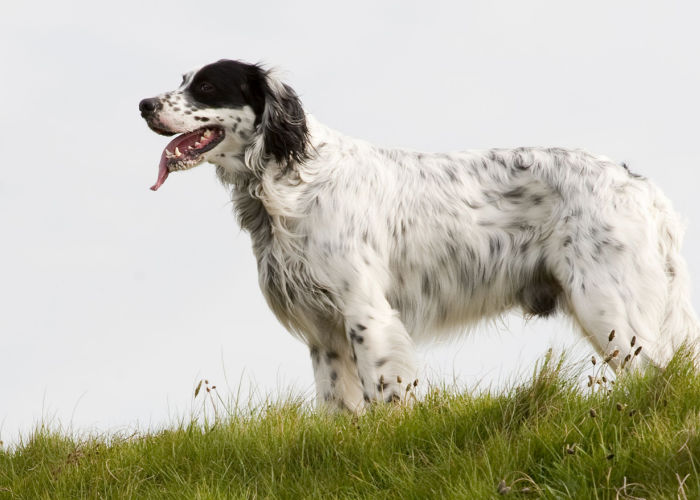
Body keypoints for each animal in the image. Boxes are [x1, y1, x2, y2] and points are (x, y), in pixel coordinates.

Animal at [139, 58, 696, 410]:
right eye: (184, 80)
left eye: (207, 87)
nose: (143, 104)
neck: (291, 182)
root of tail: (641, 186)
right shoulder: (323, 335)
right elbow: (339, 407)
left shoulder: (366, 312)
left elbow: (387, 393)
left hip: (609, 309)